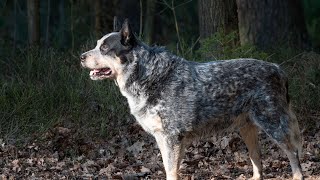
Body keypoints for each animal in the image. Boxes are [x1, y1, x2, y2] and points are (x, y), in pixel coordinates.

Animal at [80, 19, 302, 179]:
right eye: (97, 45)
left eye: (104, 48)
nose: (81, 57)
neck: (147, 74)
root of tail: (278, 69)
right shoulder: (163, 138)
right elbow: (169, 169)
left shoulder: (172, 138)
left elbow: (171, 172)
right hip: (246, 128)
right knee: (257, 160)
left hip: (273, 124)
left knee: (294, 155)